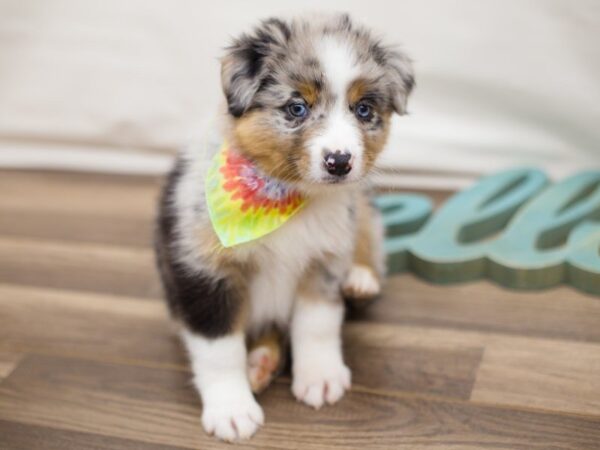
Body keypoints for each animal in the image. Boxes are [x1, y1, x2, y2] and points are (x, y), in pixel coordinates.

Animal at [156, 14, 412, 442]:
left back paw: (360, 279)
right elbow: (219, 348)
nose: (339, 161)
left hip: (363, 209)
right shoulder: (203, 270)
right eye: (296, 108)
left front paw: (320, 377)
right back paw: (258, 364)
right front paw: (231, 409)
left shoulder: (325, 258)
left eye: (363, 109)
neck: (283, 196)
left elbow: (318, 324)